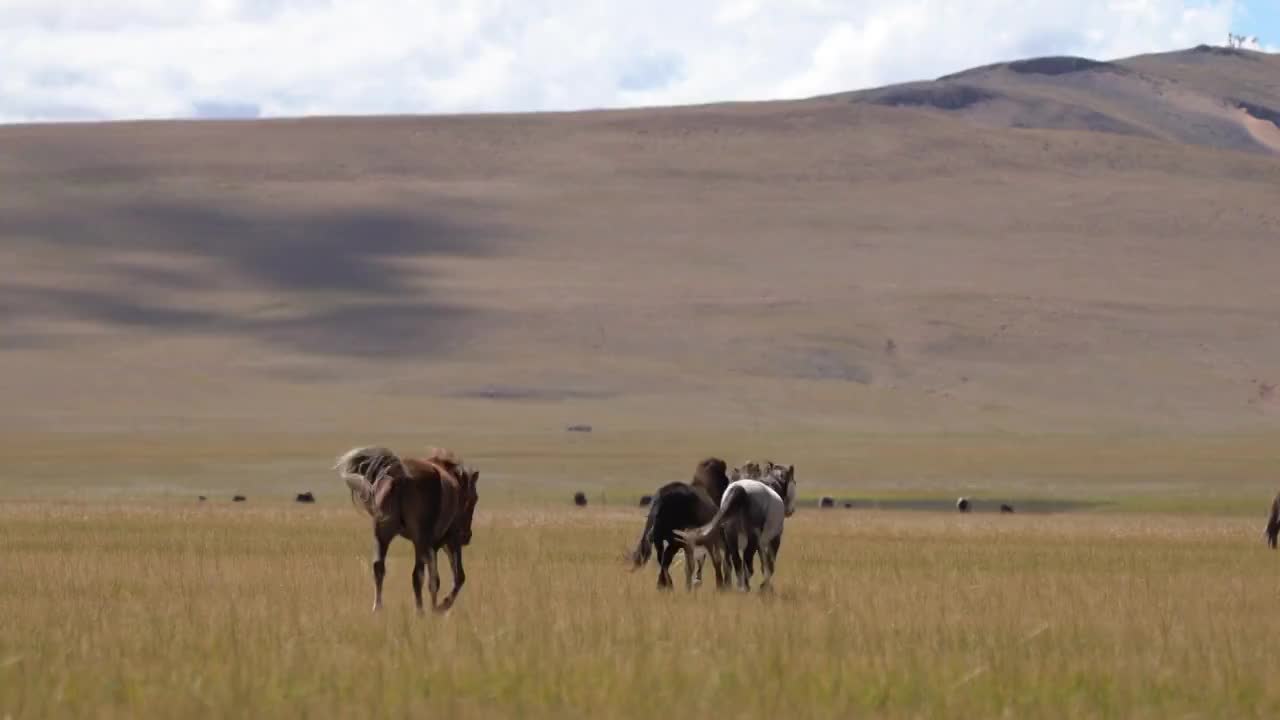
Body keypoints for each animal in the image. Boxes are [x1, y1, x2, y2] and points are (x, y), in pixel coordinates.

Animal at [335, 443, 481, 609]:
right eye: (474, 498)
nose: (467, 536)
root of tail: (399, 475)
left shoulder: (432, 546)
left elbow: (434, 581)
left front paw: (435, 607)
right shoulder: (447, 540)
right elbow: (457, 577)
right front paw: (441, 606)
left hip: (382, 535)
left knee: (379, 568)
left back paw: (378, 608)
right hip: (420, 540)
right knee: (417, 575)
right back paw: (420, 611)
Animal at [675, 461, 793, 591]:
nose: (790, 511)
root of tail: (740, 490)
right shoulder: (774, 539)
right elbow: (769, 565)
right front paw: (765, 587)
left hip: (730, 535)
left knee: (734, 562)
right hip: (750, 538)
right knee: (746, 563)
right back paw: (744, 587)